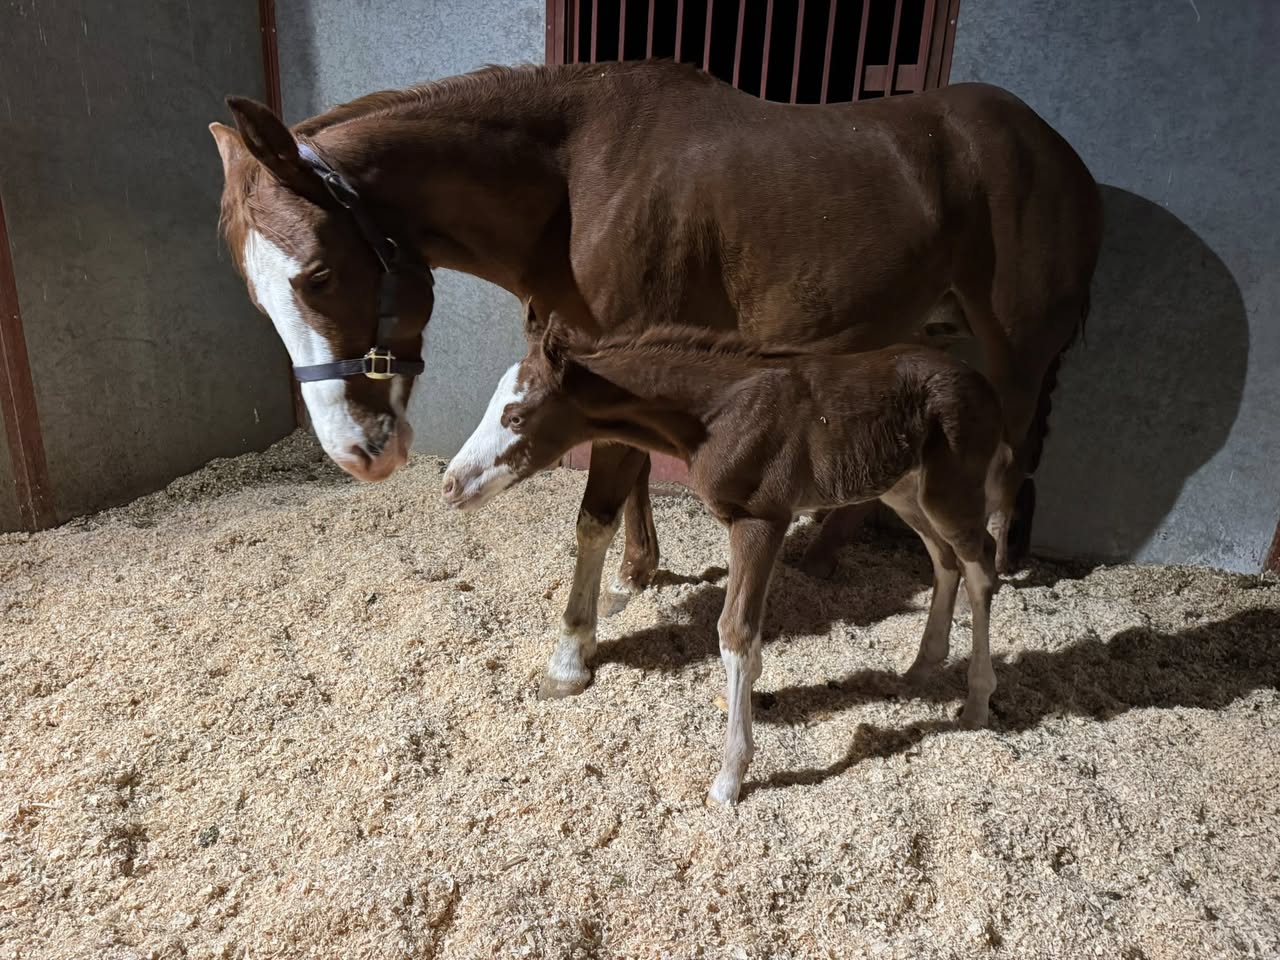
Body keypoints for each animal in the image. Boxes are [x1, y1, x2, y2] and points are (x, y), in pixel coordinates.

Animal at [211, 59, 1101, 699]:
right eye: (254, 293)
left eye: (319, 275)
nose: (356, 452)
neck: (577, 181)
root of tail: (1058, 151)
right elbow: (633, 479)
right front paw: (636, 576)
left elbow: (594, 514)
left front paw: (573, 651)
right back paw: (826, 553)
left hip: (1015, 359)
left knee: (1002, 472)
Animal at [442, 318, 1009, 805]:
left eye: (517, 417)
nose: (450, 484)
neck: (716, 415)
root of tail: (984, 384)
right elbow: (747, 641)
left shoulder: (760, 520)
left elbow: (734, 633)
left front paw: (729, 778)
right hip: (905, 489)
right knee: (945, 560)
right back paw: (923, 666)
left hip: (950, 490)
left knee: (981, 561)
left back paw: (977, 701)